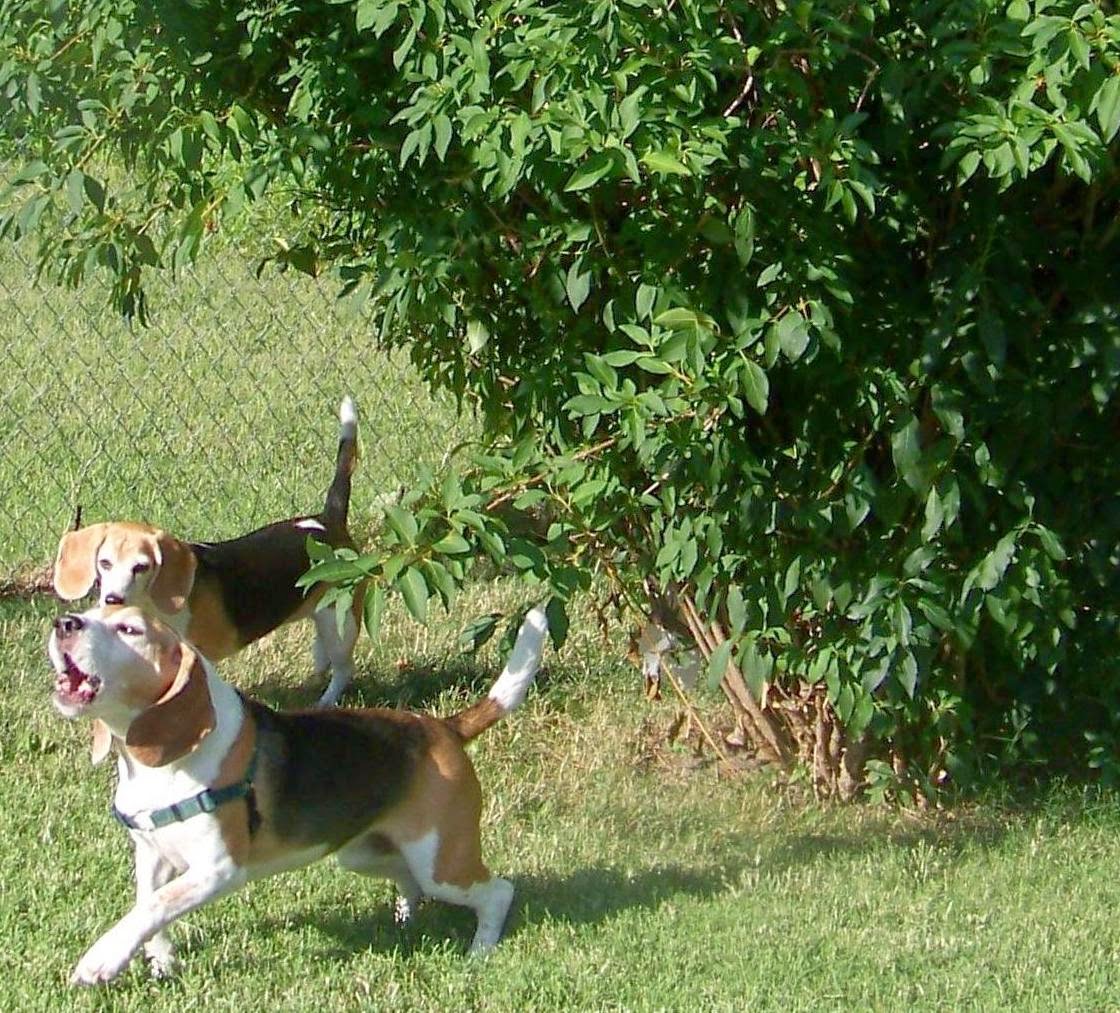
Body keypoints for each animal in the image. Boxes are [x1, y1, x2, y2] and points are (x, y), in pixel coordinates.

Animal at [47, 603, 549, 985]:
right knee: (408, 880)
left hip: (441, 861)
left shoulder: (218, 869)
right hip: (363, 853)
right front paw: (162, 962)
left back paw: (480, 952)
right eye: (92, 612)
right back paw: (405, 921)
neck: (163, 762)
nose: (64, 623)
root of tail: (444, 727)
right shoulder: (152, 853)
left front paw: (101, 960)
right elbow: (147, 907)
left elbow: (152, 908)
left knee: (497, 891)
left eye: (129, 629)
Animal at [52, 397, 362, 707]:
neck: (152, 604)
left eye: (141, 567)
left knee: (344, 667)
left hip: (342, 622)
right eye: (104, 563)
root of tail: (328, 520)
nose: (112, 599)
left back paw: (325, 701)